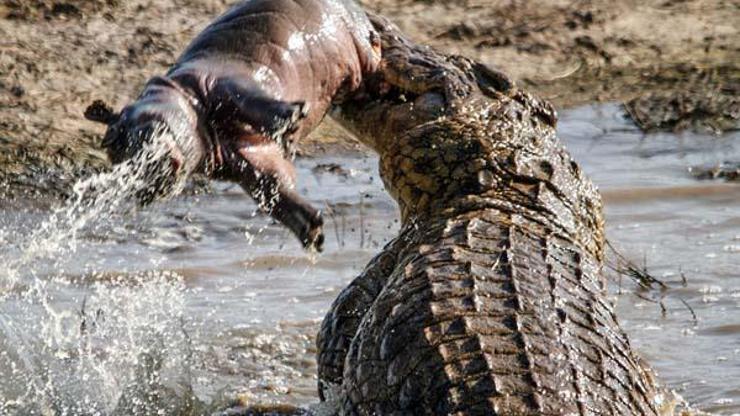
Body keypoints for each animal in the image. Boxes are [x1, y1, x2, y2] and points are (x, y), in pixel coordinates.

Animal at [85, 0, 382, 250]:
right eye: (112, 148)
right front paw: (312, 231)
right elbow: (273, 187)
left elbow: (247, 98)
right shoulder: (240, 159)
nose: (142, 183)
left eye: (116, 136)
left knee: (371, 59)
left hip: (357, 44)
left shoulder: (218, 80)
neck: (181, 95)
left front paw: (292, 118)